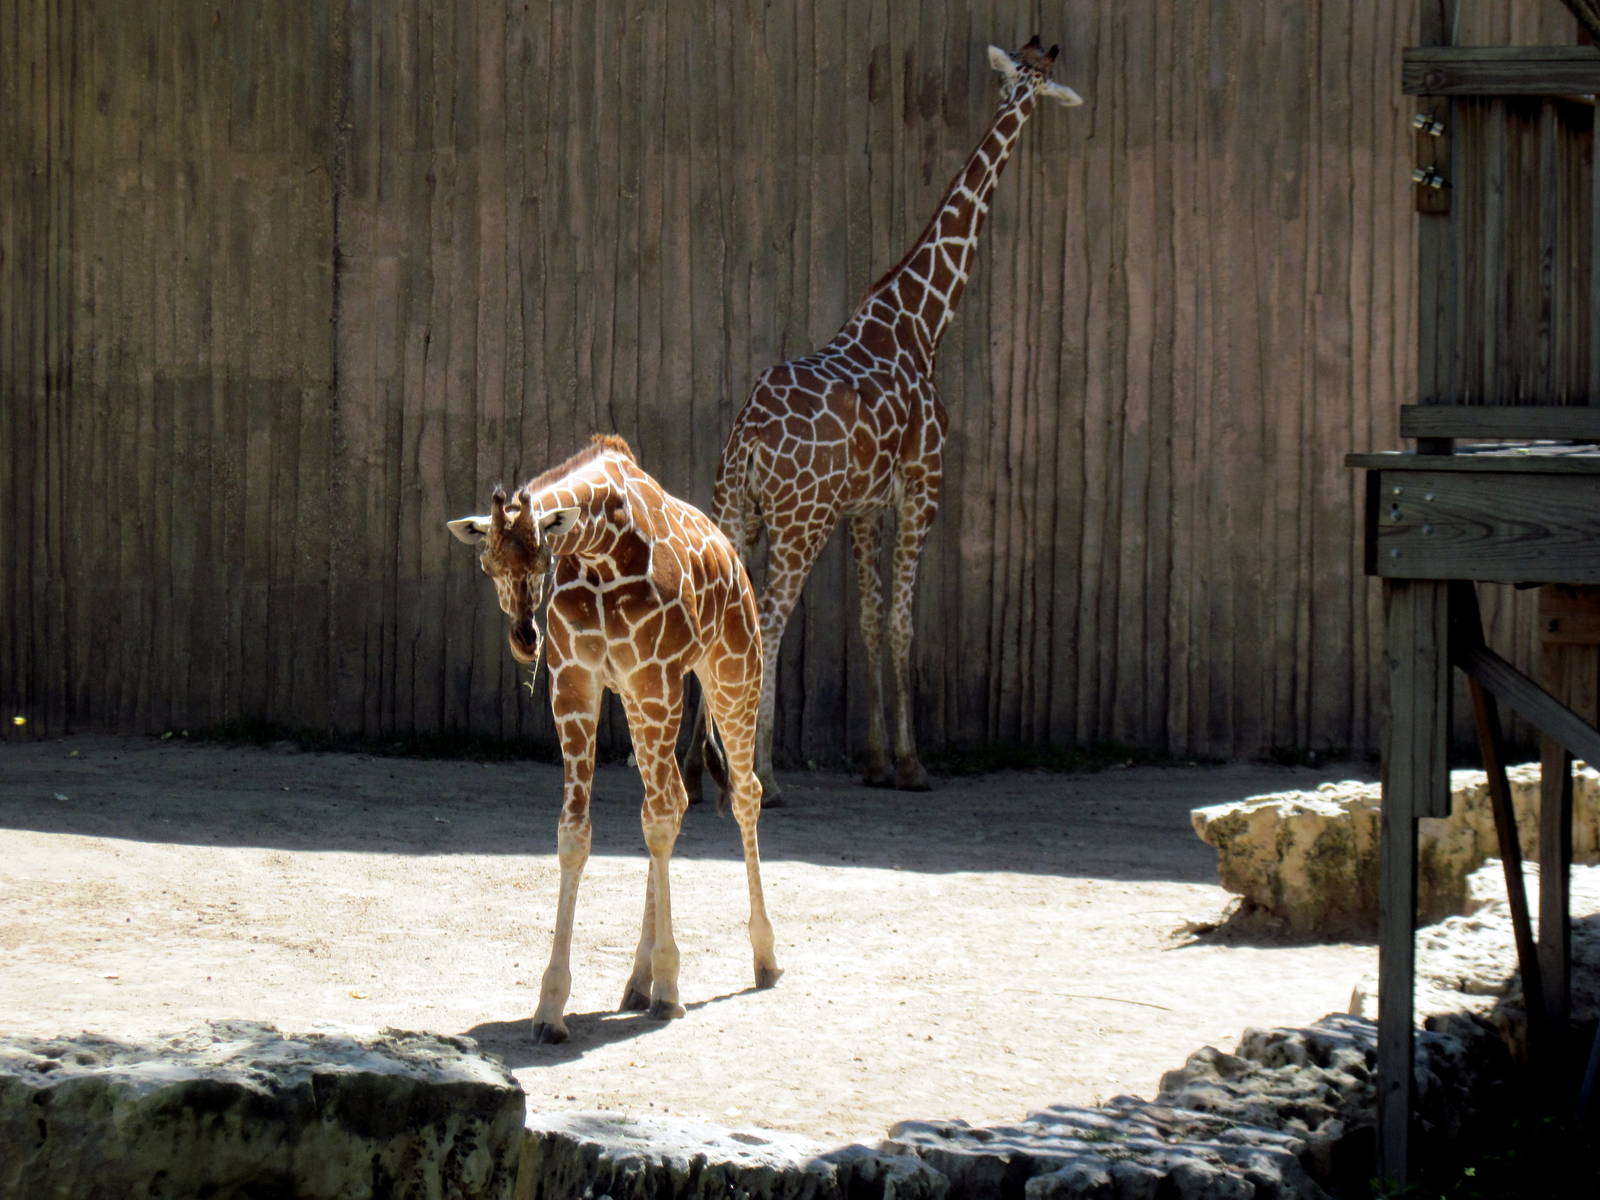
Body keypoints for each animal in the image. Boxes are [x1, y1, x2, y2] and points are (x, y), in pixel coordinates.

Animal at [447, 434, 780, 1043]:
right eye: (488, 563)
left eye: (543, 556)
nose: (526, 640)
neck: (601, 551)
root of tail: (733, 556)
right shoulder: (577, 682)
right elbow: (576, 833)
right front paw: (551, 1006)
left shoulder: (653, 677)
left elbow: (659, 820)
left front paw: (671, 986)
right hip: (642, 694)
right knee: (674, 799)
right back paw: (637, 982)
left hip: (732, 669)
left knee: (740, 795)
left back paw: (763, 958)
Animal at [687, 37, 1080, 804]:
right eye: (1034, 79)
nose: (1020, 99)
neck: (920, 321)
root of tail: (747, 443)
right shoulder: (924, 485)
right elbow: (900, 624)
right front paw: (911, 763)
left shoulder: (864, 506)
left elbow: (869, 624)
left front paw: (872, 760)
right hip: (798, 521)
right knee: (767, 624)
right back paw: (763, 777)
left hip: (736, 512)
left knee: (717, 621)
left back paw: (700, 766)